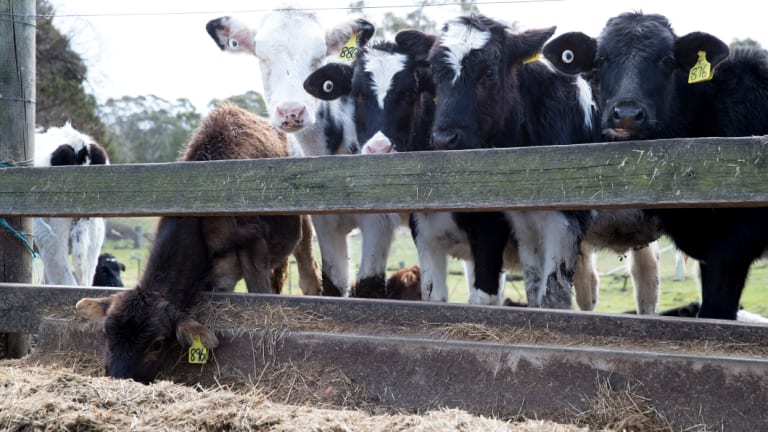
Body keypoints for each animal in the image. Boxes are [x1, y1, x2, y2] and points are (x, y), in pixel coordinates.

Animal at [76, 104, 319, 383]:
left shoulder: (253, 246)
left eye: (157, 344)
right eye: (106, 334)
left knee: (307, 269)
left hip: (302, 224)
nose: (119, 376)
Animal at [206, 9, 401, 299]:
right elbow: (333, 285)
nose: (291, 111)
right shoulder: (326, 225)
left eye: (318, 58)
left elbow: (369, 289)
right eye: (262, 57)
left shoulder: (379, 221)